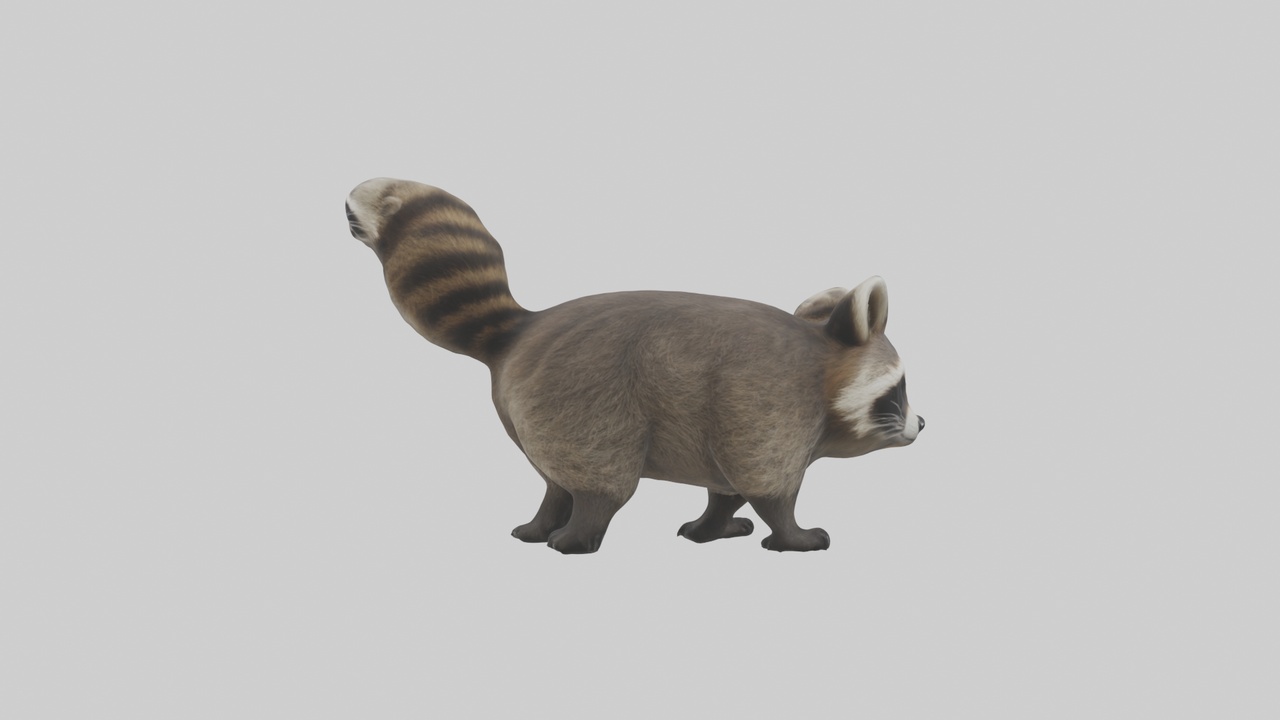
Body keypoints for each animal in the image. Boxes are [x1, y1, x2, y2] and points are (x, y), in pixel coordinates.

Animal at [345, 178, 923, 553]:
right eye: (898, 389)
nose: (922, 423)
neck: (822, 365)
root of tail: (525, 329)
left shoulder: (728, 416)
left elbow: (726, 482)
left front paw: (712, 524)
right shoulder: (768, 400)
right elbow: (765, 479)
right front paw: (791, 535)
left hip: (536, 410)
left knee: (555, 477)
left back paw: (543, 521)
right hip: (585, 394)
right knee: (601, 475)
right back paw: (578, 533)